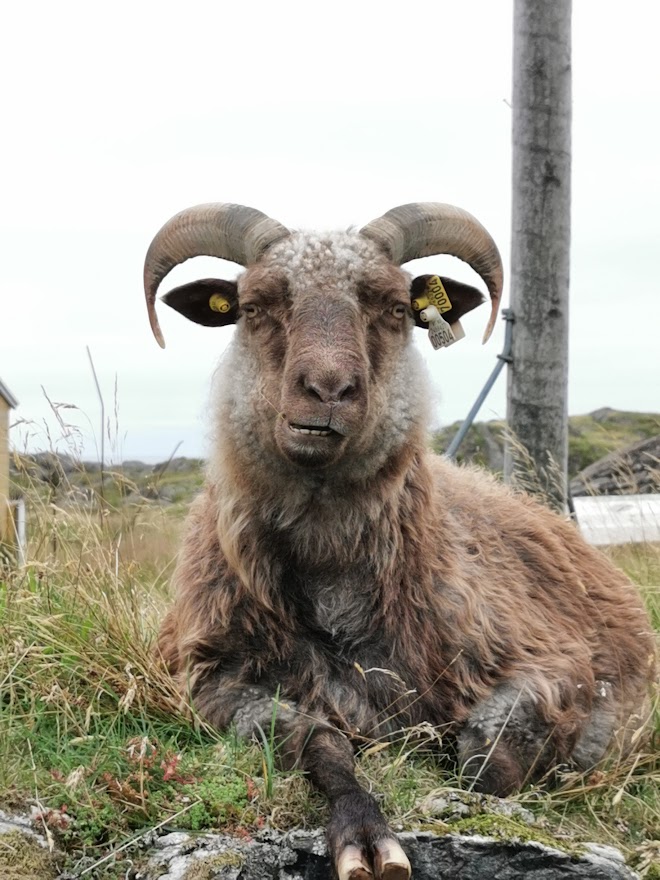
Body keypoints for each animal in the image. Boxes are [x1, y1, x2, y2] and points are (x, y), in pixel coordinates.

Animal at [144, 203, 655, 880]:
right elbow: (321, 741)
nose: (327, 390)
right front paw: (364, 834)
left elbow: (484, 762)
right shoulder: (214, 680)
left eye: (392, 307)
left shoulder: (555, 663)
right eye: (253, 307)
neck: (331, 569)